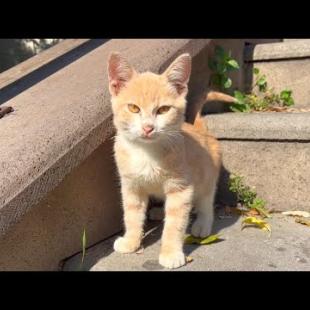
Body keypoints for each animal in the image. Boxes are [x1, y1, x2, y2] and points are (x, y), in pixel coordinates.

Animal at [108, 52, 229, 268]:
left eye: (163, 110)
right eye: (133, 108)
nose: (148, 128)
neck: (146, 153)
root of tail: (199, 128)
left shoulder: (181, 188)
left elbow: (175, 223)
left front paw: (171, 253)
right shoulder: (131, 186)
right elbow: (131, 215)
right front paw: (131, 241)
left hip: (207, 176)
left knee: (206, 201)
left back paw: (203, 224)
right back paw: (157, 212)